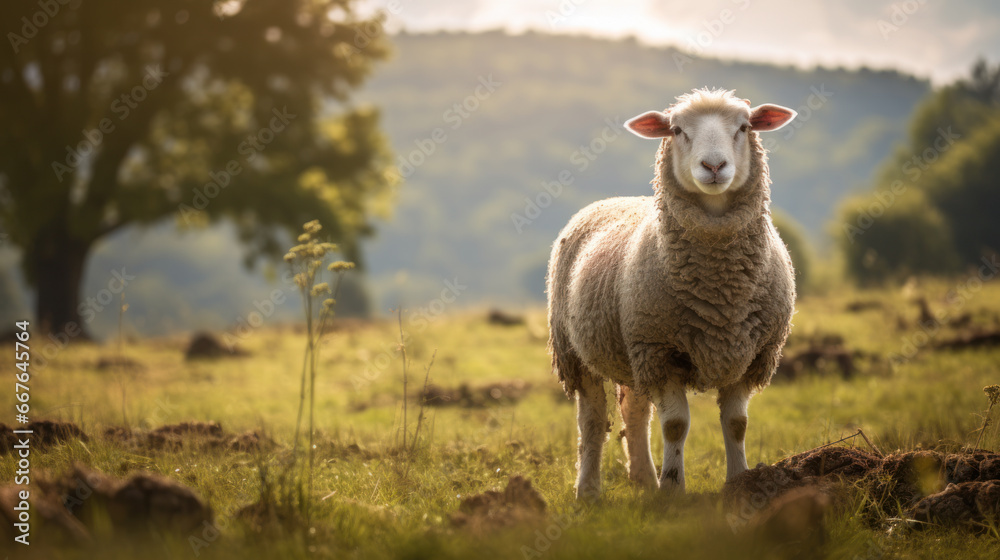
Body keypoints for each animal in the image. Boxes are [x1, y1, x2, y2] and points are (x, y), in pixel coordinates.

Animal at [546, 88, 797, 500]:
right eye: (677, 130)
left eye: (744, 127)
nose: (714, 166)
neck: (720, 292)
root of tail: (614, 198)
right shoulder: (661, 353)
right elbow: (676, 425)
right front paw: (673, 491)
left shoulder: (751, 353)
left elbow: (737, 424)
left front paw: (739, 482)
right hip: (577, 351)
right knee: (593, 421)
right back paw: (589, 490)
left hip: (632, 352)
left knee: (634, 412)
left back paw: (644, 479)